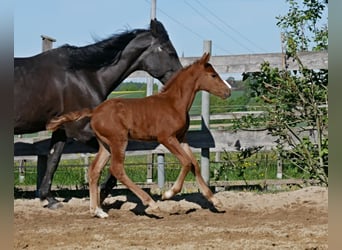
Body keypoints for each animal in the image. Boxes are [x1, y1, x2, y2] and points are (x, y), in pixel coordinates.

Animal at [14, 19, 183, 207]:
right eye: (170, 52)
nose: (181, 78)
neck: (83, 76)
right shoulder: (80, 130)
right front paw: (102, 193)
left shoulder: (62, 129)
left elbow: (53, 160)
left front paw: (49, 198)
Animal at [46, 52, 231, 217]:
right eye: (213, 75)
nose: (228, 92)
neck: (174, 103)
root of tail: (95, 111)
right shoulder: (166, 137)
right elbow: (186, 162)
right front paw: (168, 194)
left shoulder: (181, 137)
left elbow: (194, 164)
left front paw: (215, 201)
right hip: (119, 140)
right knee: (117, 169)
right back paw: (151, 203)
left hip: (105, 145)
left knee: (94, 170)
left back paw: (97, 211)